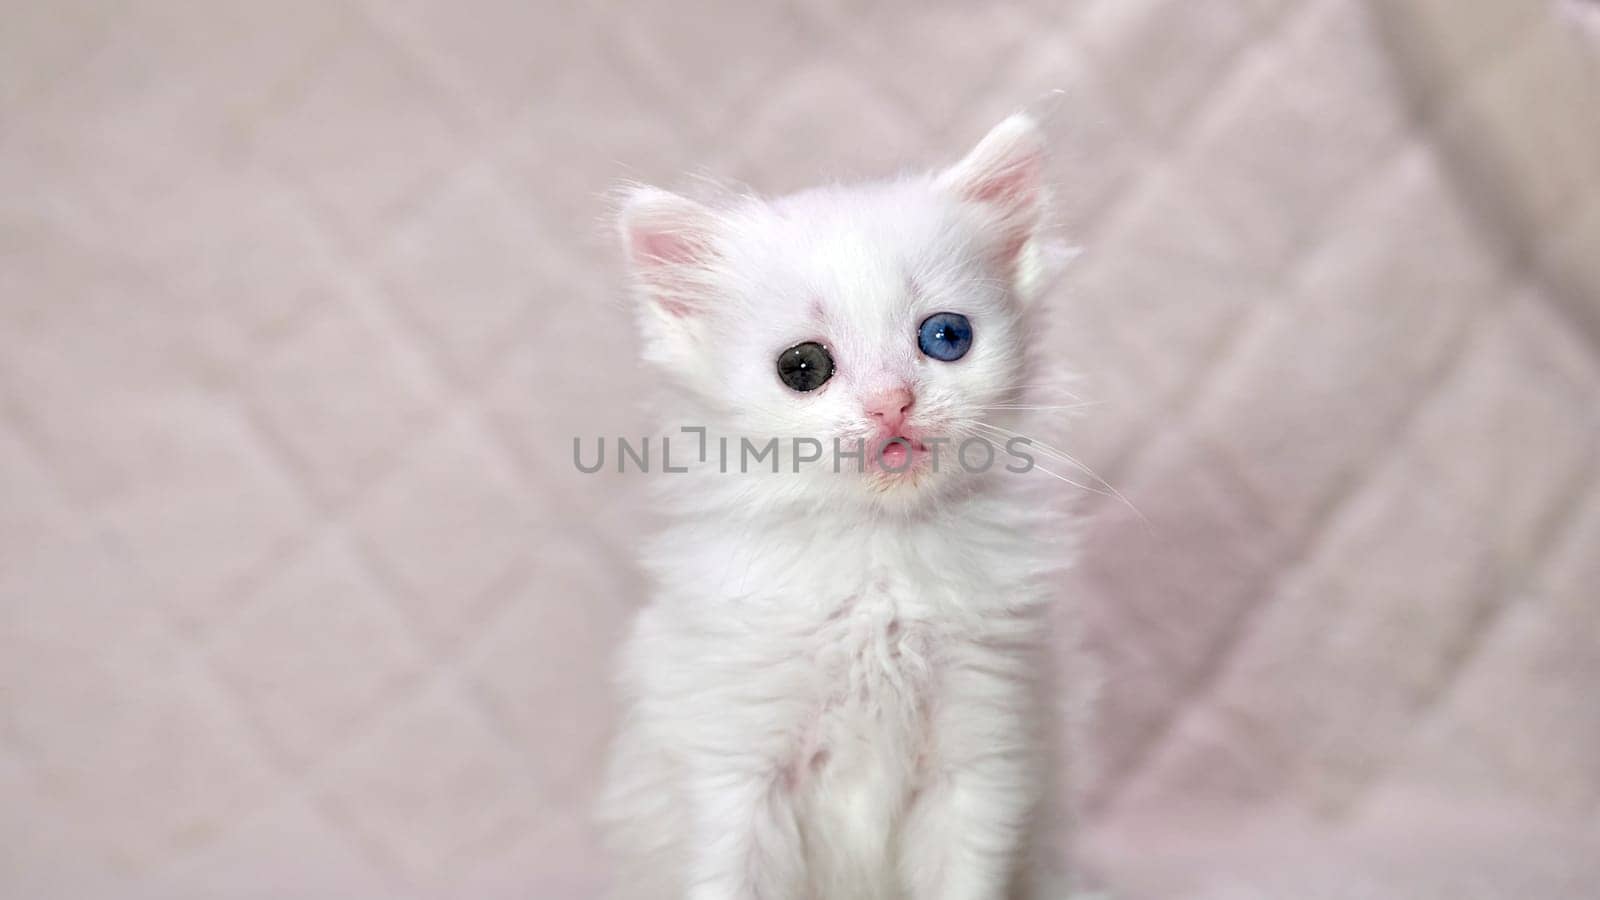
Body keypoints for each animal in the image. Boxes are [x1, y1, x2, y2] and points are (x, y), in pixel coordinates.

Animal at [598, 115, 1075, 890]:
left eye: (946, 336)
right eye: (804, 367)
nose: (892, 402)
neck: (877, 561)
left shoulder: (983, 753)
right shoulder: (735, 767)